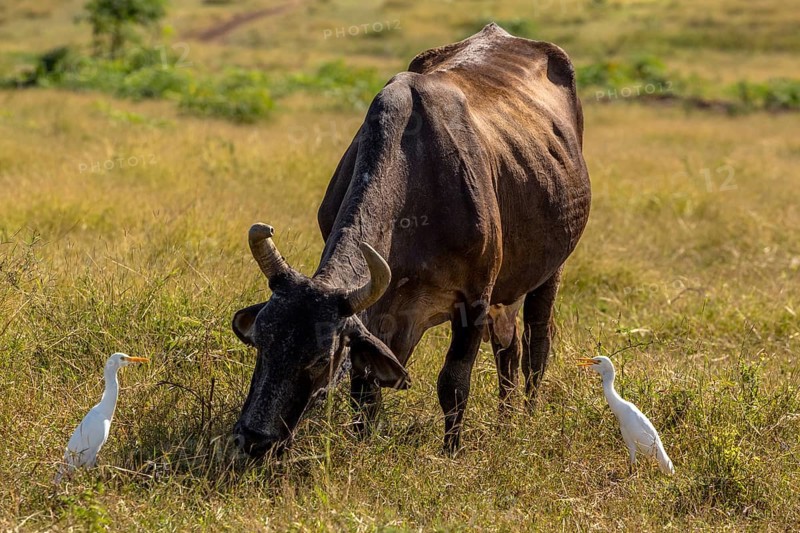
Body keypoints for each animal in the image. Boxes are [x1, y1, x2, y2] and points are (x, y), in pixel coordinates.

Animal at [231, 23, 591, 458]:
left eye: (319, 358)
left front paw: (451, 453)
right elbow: (364, 389)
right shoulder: (376, 318)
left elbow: (453, 384)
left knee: (536, 345)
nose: (253, 439)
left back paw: (526, 418)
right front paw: (364, 442)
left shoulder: (475, 301)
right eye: (261, 342)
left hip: (551, 270)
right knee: (508, 348)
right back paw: (505, 422)